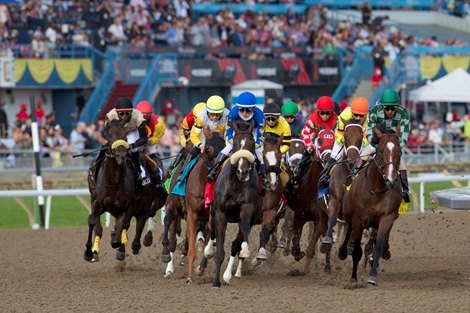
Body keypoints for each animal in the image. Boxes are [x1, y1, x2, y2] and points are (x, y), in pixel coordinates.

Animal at [288, 127, 336, 272]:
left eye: (334, 140)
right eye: (319, 140)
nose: (328, 158)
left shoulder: (320, 220)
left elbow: (311, 248)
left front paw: (305, 271)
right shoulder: (299, 216)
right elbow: (295, 245)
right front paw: (299, 254)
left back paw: (327, 265)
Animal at [340, 125, 402, 284]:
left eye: (399, 151)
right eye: (380, 150)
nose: (391, 180)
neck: (377, 189)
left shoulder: (387, 217)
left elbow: (377, 247)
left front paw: (373, 276)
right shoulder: (358, 219)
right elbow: (357, 251)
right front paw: (353, 278)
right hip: (348, 213)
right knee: (348, 228)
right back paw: (342, 251)